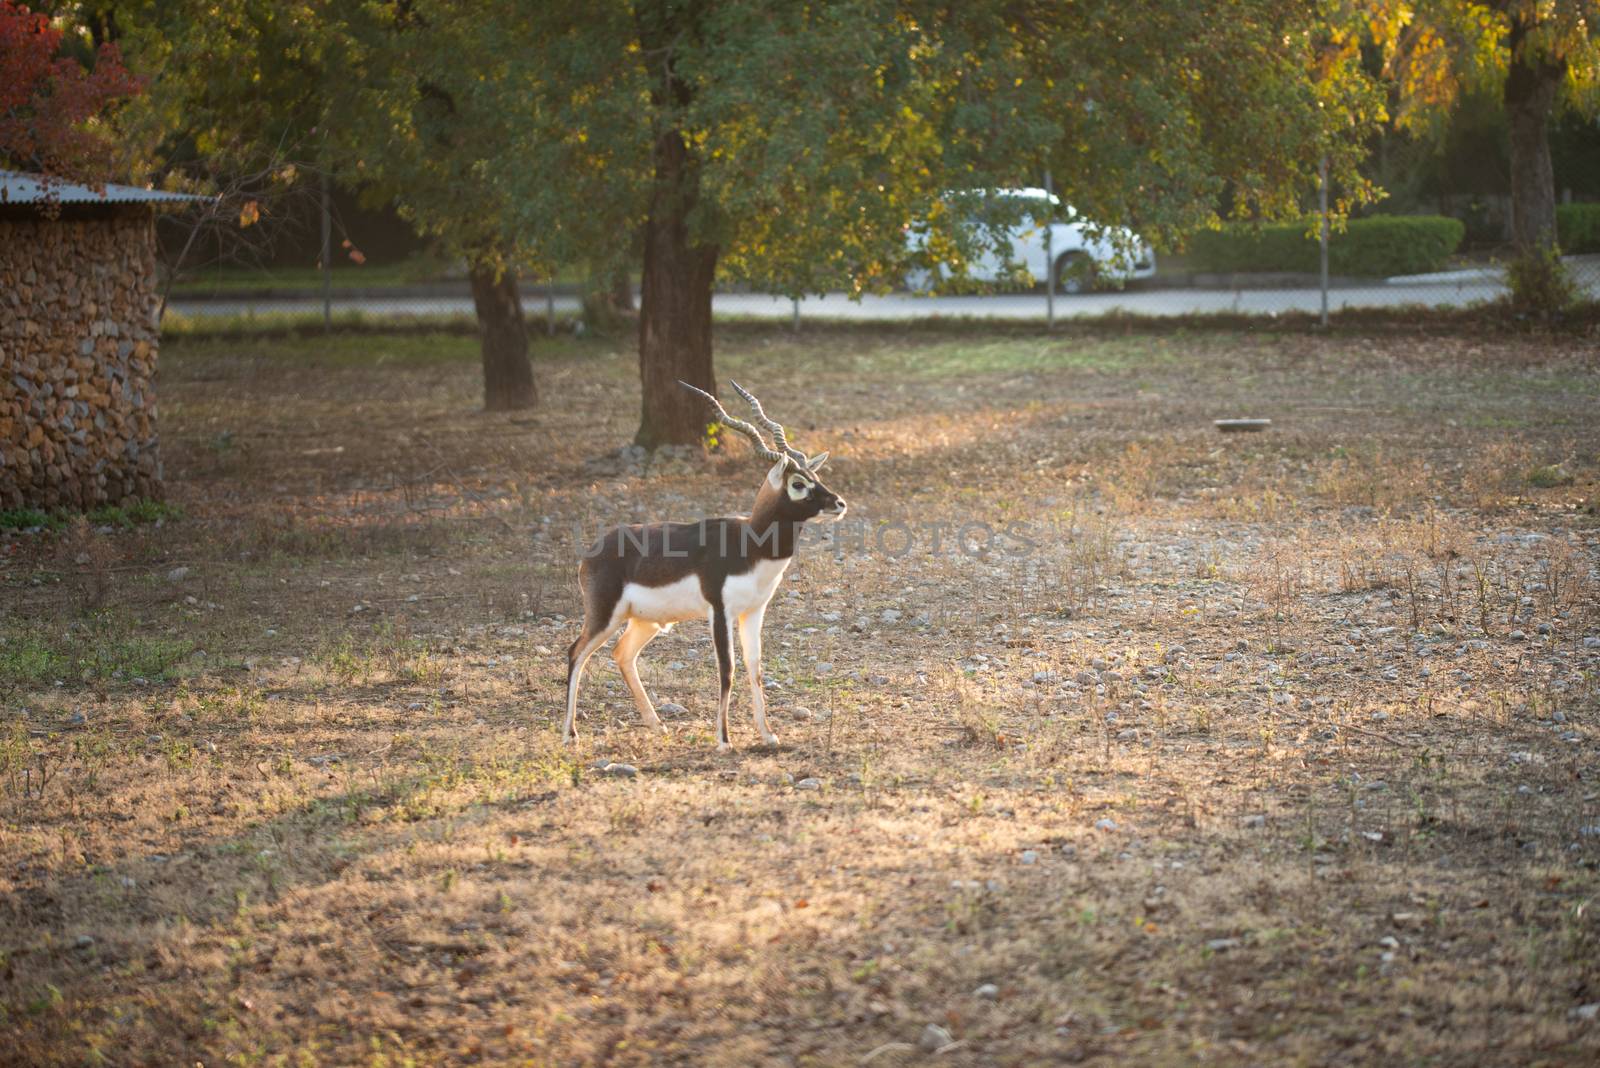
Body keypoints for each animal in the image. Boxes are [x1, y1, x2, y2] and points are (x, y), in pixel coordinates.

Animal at [563, 383, 844, 751]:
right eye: (798, 483)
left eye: (816, 476)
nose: (839, 503)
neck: (750, 544)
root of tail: (592, 552)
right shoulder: (719, 611)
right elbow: (727, 669)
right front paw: (724, 740)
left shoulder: (753, 611)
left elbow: (755, 667)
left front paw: (768, 734)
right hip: (604, 616)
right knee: (576, 653)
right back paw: (570, 734)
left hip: (644, 622)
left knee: (622, 654)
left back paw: (657, 726)